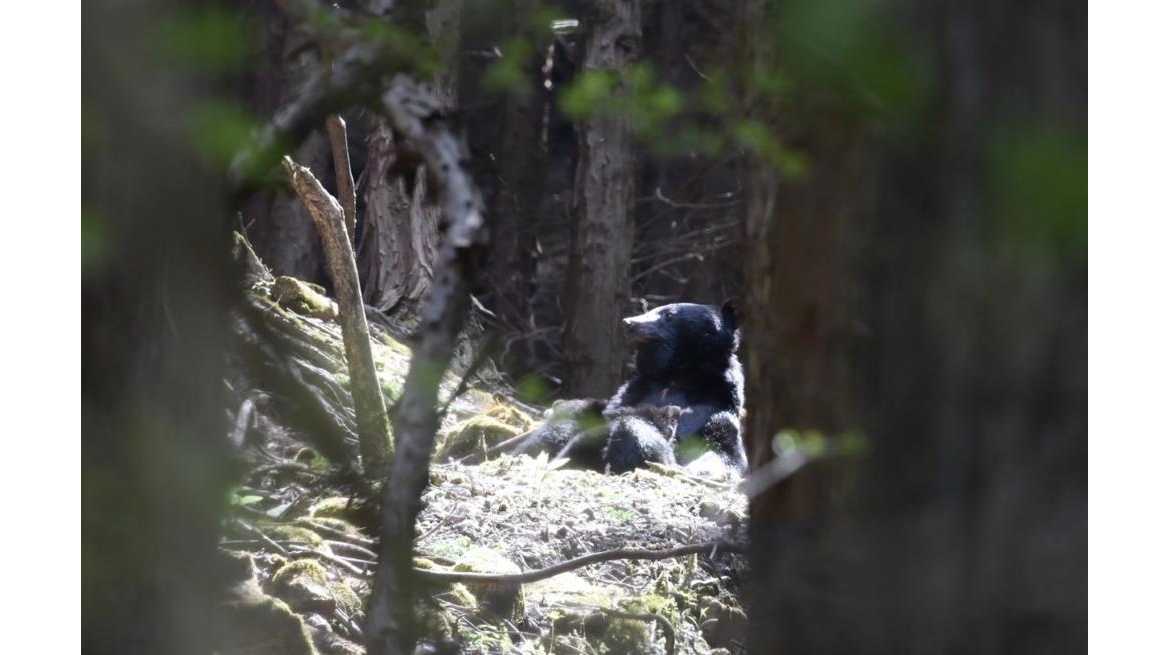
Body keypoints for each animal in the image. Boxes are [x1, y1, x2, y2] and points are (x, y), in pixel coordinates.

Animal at [603, 299, 748, 472]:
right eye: (650, 310)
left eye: (669, 315)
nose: (628, 323)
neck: (675, 375)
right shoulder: (633, 392)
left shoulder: (715, 407)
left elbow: (724, 451)